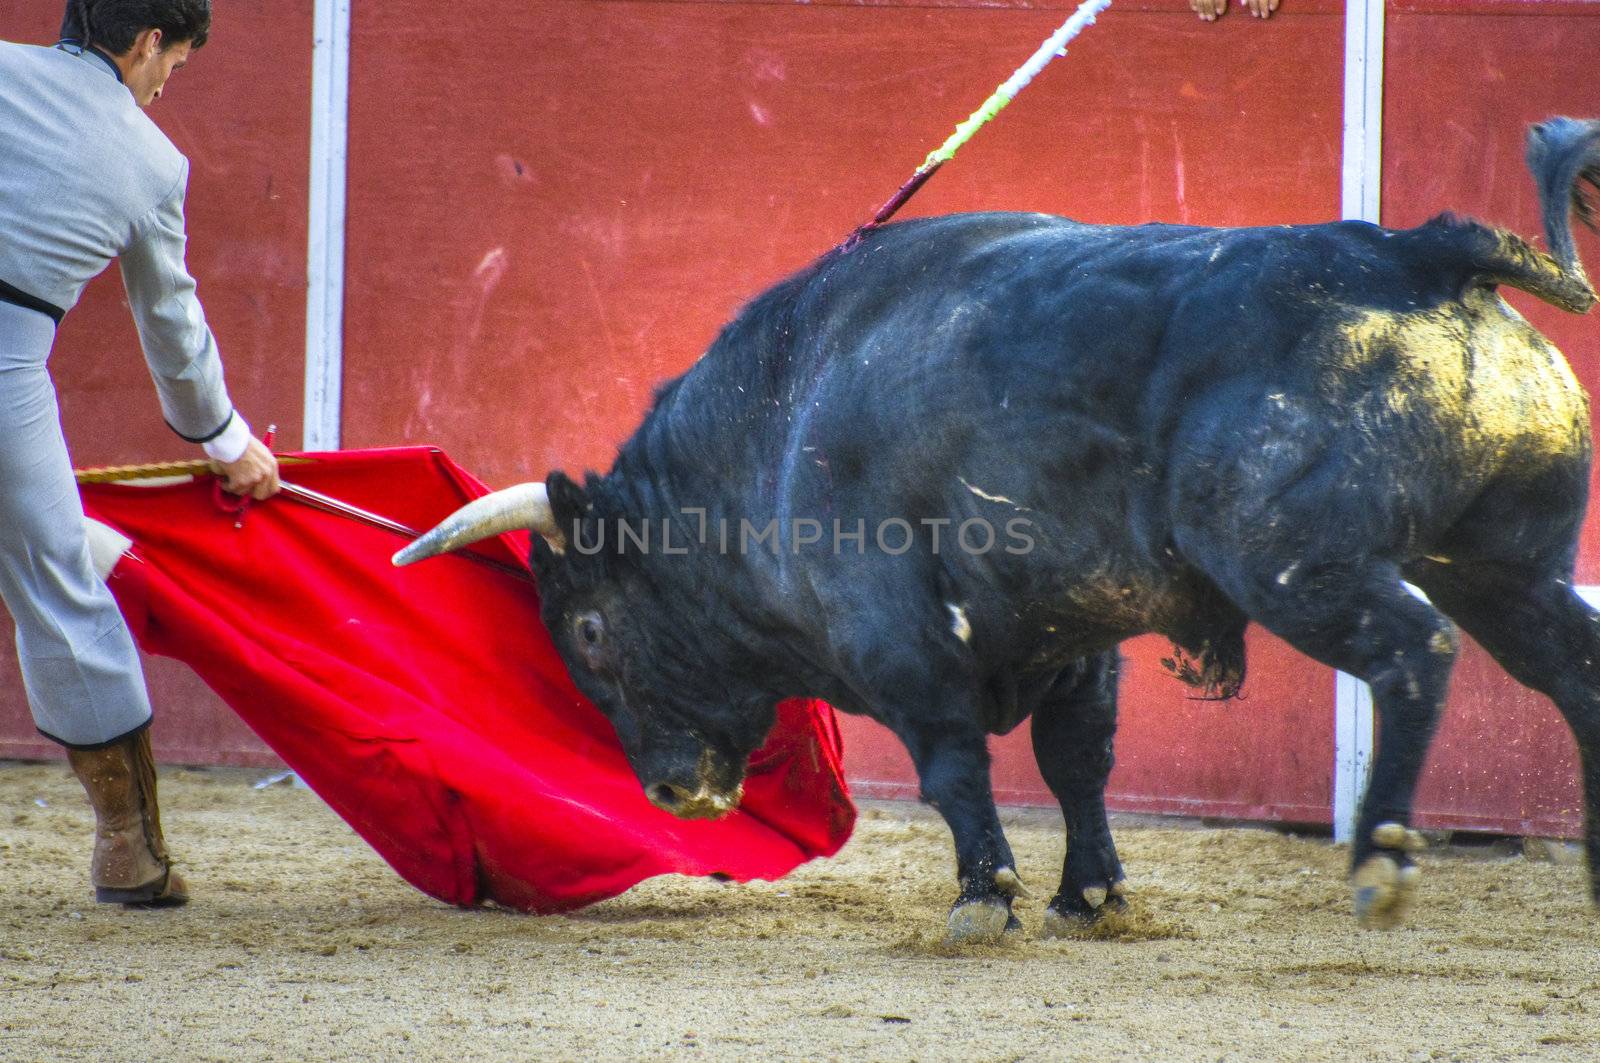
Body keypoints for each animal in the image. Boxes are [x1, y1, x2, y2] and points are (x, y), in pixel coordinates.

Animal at [396, 120, 1600, 941]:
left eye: (590, 630)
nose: (666, 791)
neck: (775, 420)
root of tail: (1418, 259)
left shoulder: (897, 637)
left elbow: (951, 766)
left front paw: (986, 897)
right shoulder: (1081, 629)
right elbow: (1077, 759)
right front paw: (1093, 893)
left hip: (1295, 563)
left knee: (1414, 649)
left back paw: (1381, 858)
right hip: (1502, 564)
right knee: (1573, 666)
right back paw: (1587, 859)